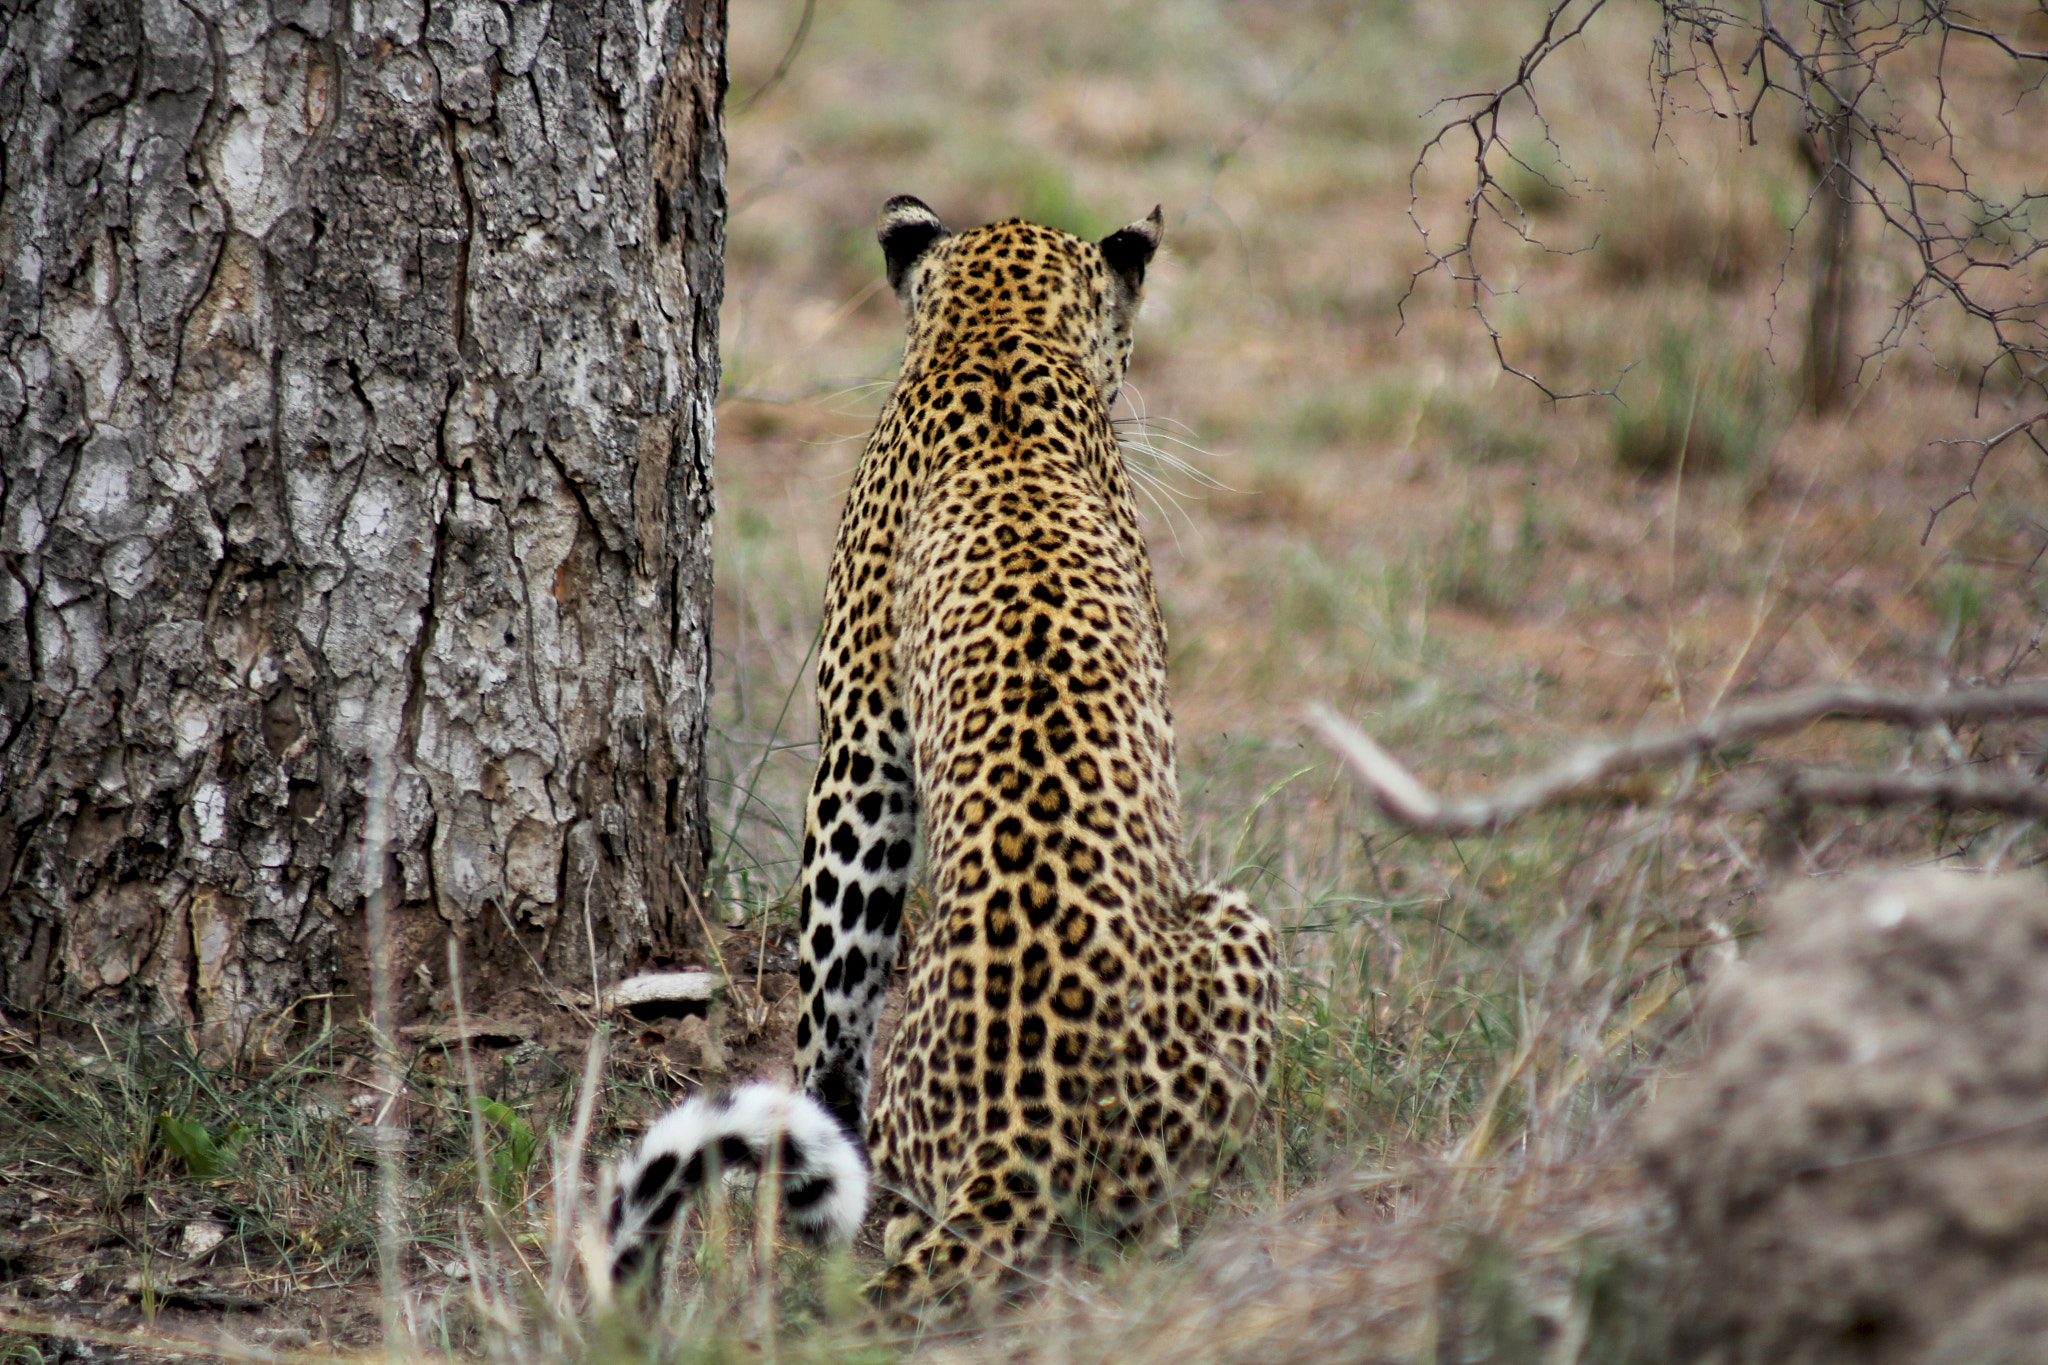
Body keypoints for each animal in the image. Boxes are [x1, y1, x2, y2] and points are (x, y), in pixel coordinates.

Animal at [606, 194, 1277, 1309]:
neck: (998, 337)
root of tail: (1025, 1138)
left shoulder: (861, 745)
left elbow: (832, 971)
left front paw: (819, 1109)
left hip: (1234, 916)